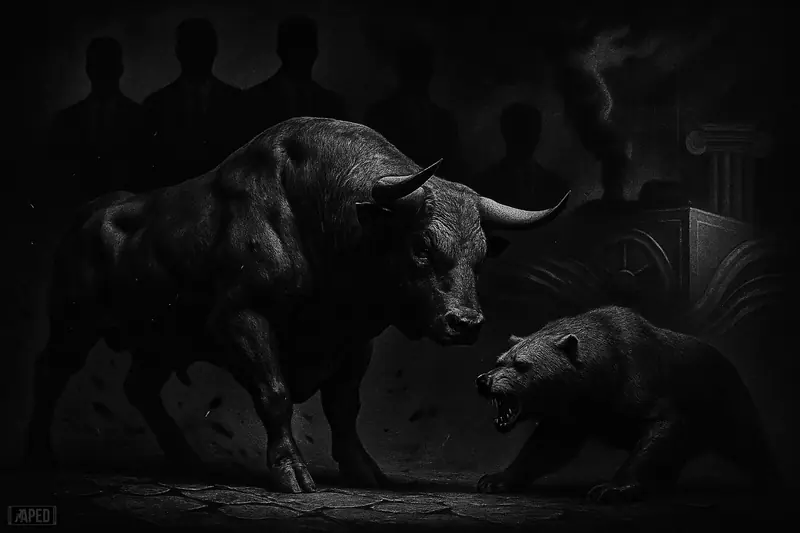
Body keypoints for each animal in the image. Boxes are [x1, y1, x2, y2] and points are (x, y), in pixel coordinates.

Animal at [25, 117, 569, 493]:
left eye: (480, 255)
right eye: (420, 248)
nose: (466, 322)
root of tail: (89, 214)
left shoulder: (355, 342)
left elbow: (344, 408)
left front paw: (363, 470)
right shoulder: (243, 319)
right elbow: (276, 394)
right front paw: (291, 472)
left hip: (162, 342)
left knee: (138, 388)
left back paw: (184, 458)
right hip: (72, 326)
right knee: (50, 373)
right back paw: (40, 453)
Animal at [474, 305, 781, 504]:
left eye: (520, 364)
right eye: (500, 360)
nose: (483, 380)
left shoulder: (645, 387)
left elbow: (658, 432)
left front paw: (611, 488)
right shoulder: (576, 414)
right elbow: (546, 447)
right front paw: (495, 478)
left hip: (725, 401)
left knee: (749, 441)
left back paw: (770, 482)